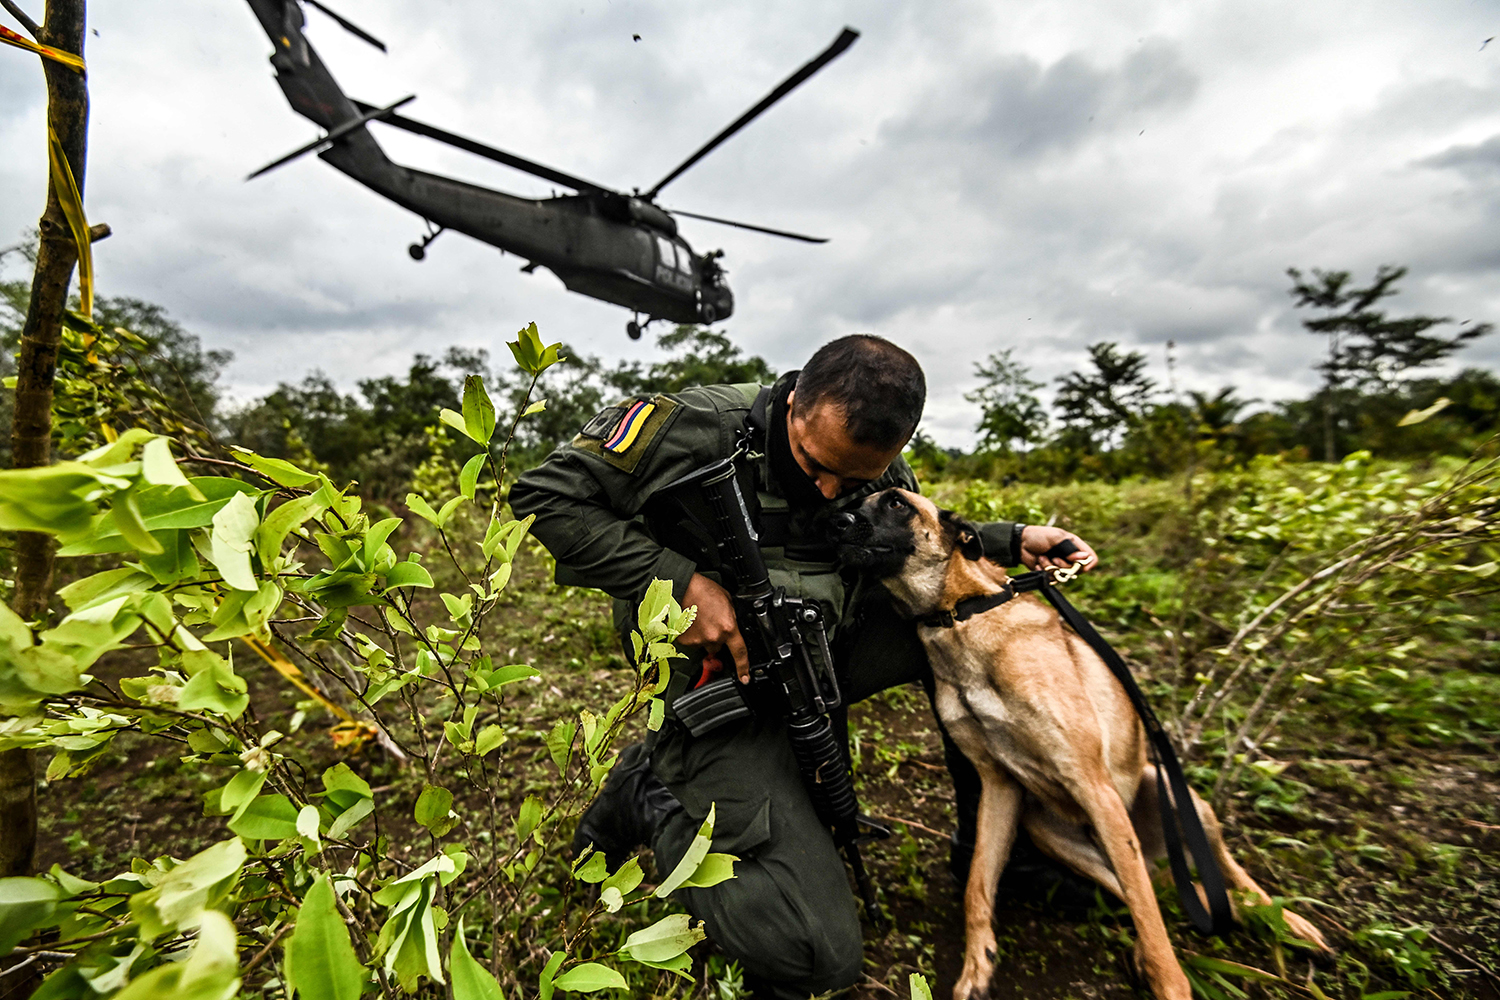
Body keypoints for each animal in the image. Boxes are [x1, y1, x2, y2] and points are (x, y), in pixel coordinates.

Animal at [840, 491, 1332, 1000]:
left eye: (897, 504)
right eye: (857, 501)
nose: (837, 520)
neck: (961, 614)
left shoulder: (1092, 784)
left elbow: (1150, 919)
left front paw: (1171, 984)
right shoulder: (999, 785)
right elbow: (978, 881)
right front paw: (977, 965)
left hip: (1176, 802)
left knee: (1212, 880)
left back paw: (1286, 924)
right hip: (1050, 829)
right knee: (1154, 890)